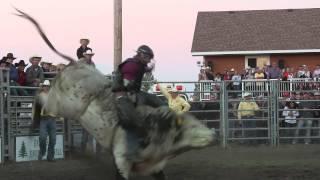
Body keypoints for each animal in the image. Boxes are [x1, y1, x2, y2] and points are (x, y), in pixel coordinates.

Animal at [15, 8, 218, 180]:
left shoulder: (155, 166)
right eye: (189, 126)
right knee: (41, 96)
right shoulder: (121, 159)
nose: (214, 134)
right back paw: (33, 123)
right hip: (63, 104)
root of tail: (76, 63)